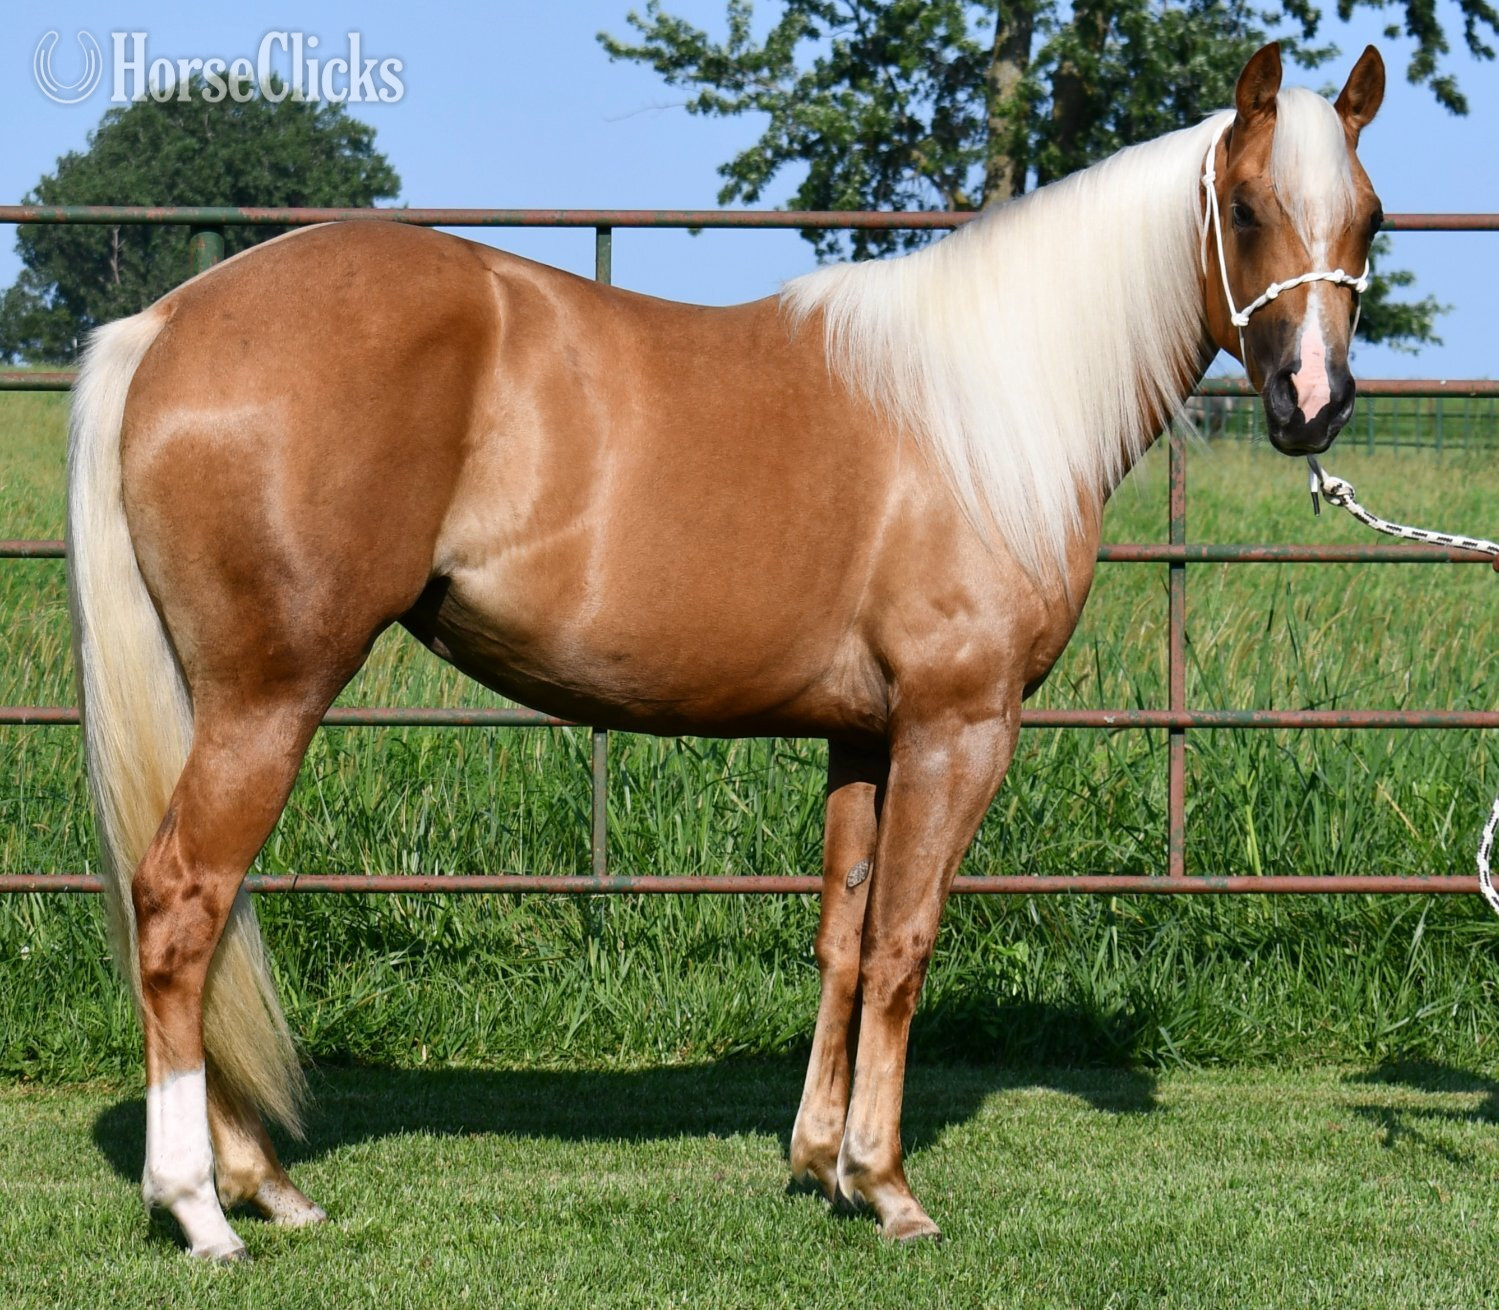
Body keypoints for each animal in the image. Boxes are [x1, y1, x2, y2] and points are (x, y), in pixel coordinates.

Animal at [66, 42, 1385, 1258]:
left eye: (1367, 215)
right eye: (1245, 208)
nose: (1311, 403)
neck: (987, 411)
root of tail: (168, 319)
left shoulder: (863, 736)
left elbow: (841, 938)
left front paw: (820, 1162)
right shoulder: (957, 724)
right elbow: (903, 942)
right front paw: (888, 1186)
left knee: (199, 920)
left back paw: (264, 1183)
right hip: (269, 696)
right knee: (183, 903)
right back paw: (200, 1206)